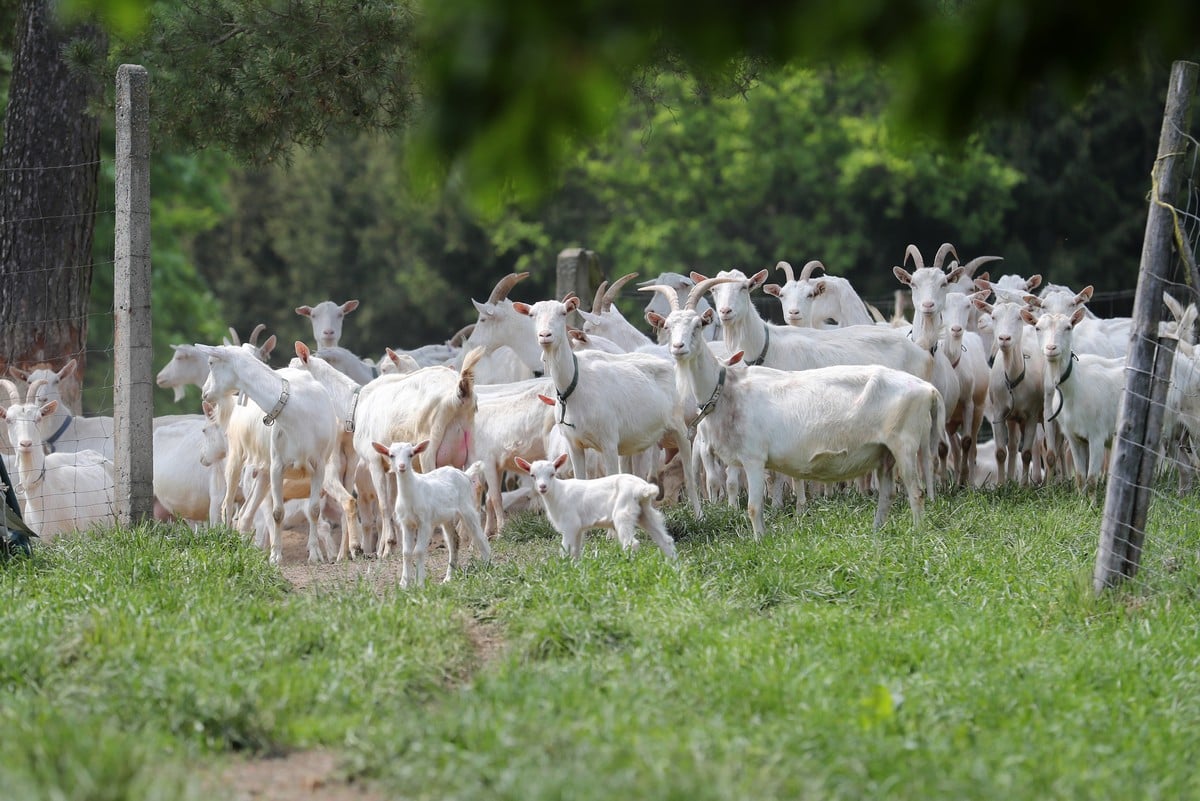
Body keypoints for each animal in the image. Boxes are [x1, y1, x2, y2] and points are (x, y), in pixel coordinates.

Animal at [369, 438, 492, 587]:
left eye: (411, 454)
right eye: (391, 455)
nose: (402, 466)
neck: (412, 494)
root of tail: (465, 474)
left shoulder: (425, 522)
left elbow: (419, 551)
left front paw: (420, 583)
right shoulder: (406, 523)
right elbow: (406, 552)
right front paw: (404, 584)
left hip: (467, 507)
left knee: (480, 535)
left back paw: (488, 566)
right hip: (447, 518)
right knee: (454, 541)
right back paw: (448, 578)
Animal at [516, 453, 681, 561]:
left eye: (552, 474)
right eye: (532, 475)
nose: (542, 487)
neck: (558, 492)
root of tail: (642, 488)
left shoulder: (570, 523)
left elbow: (566, 549)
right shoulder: (578, 528)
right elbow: (575, 551)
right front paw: (574, 569)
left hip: (623, 513)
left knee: (631, 543)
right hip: (645, 512)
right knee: (665, 540)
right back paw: (674, 567)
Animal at [643, 280, 940, 537]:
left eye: (697, 326)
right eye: (668, 326)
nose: (678, 347)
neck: (727, 387)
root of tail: (926, 388)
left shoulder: (753, 457)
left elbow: (754, 508)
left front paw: (759, 543)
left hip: (904, 444)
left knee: (916, 492)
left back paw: (917, 534)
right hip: (884, 452)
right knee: (887, 496)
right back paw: (878, 534)